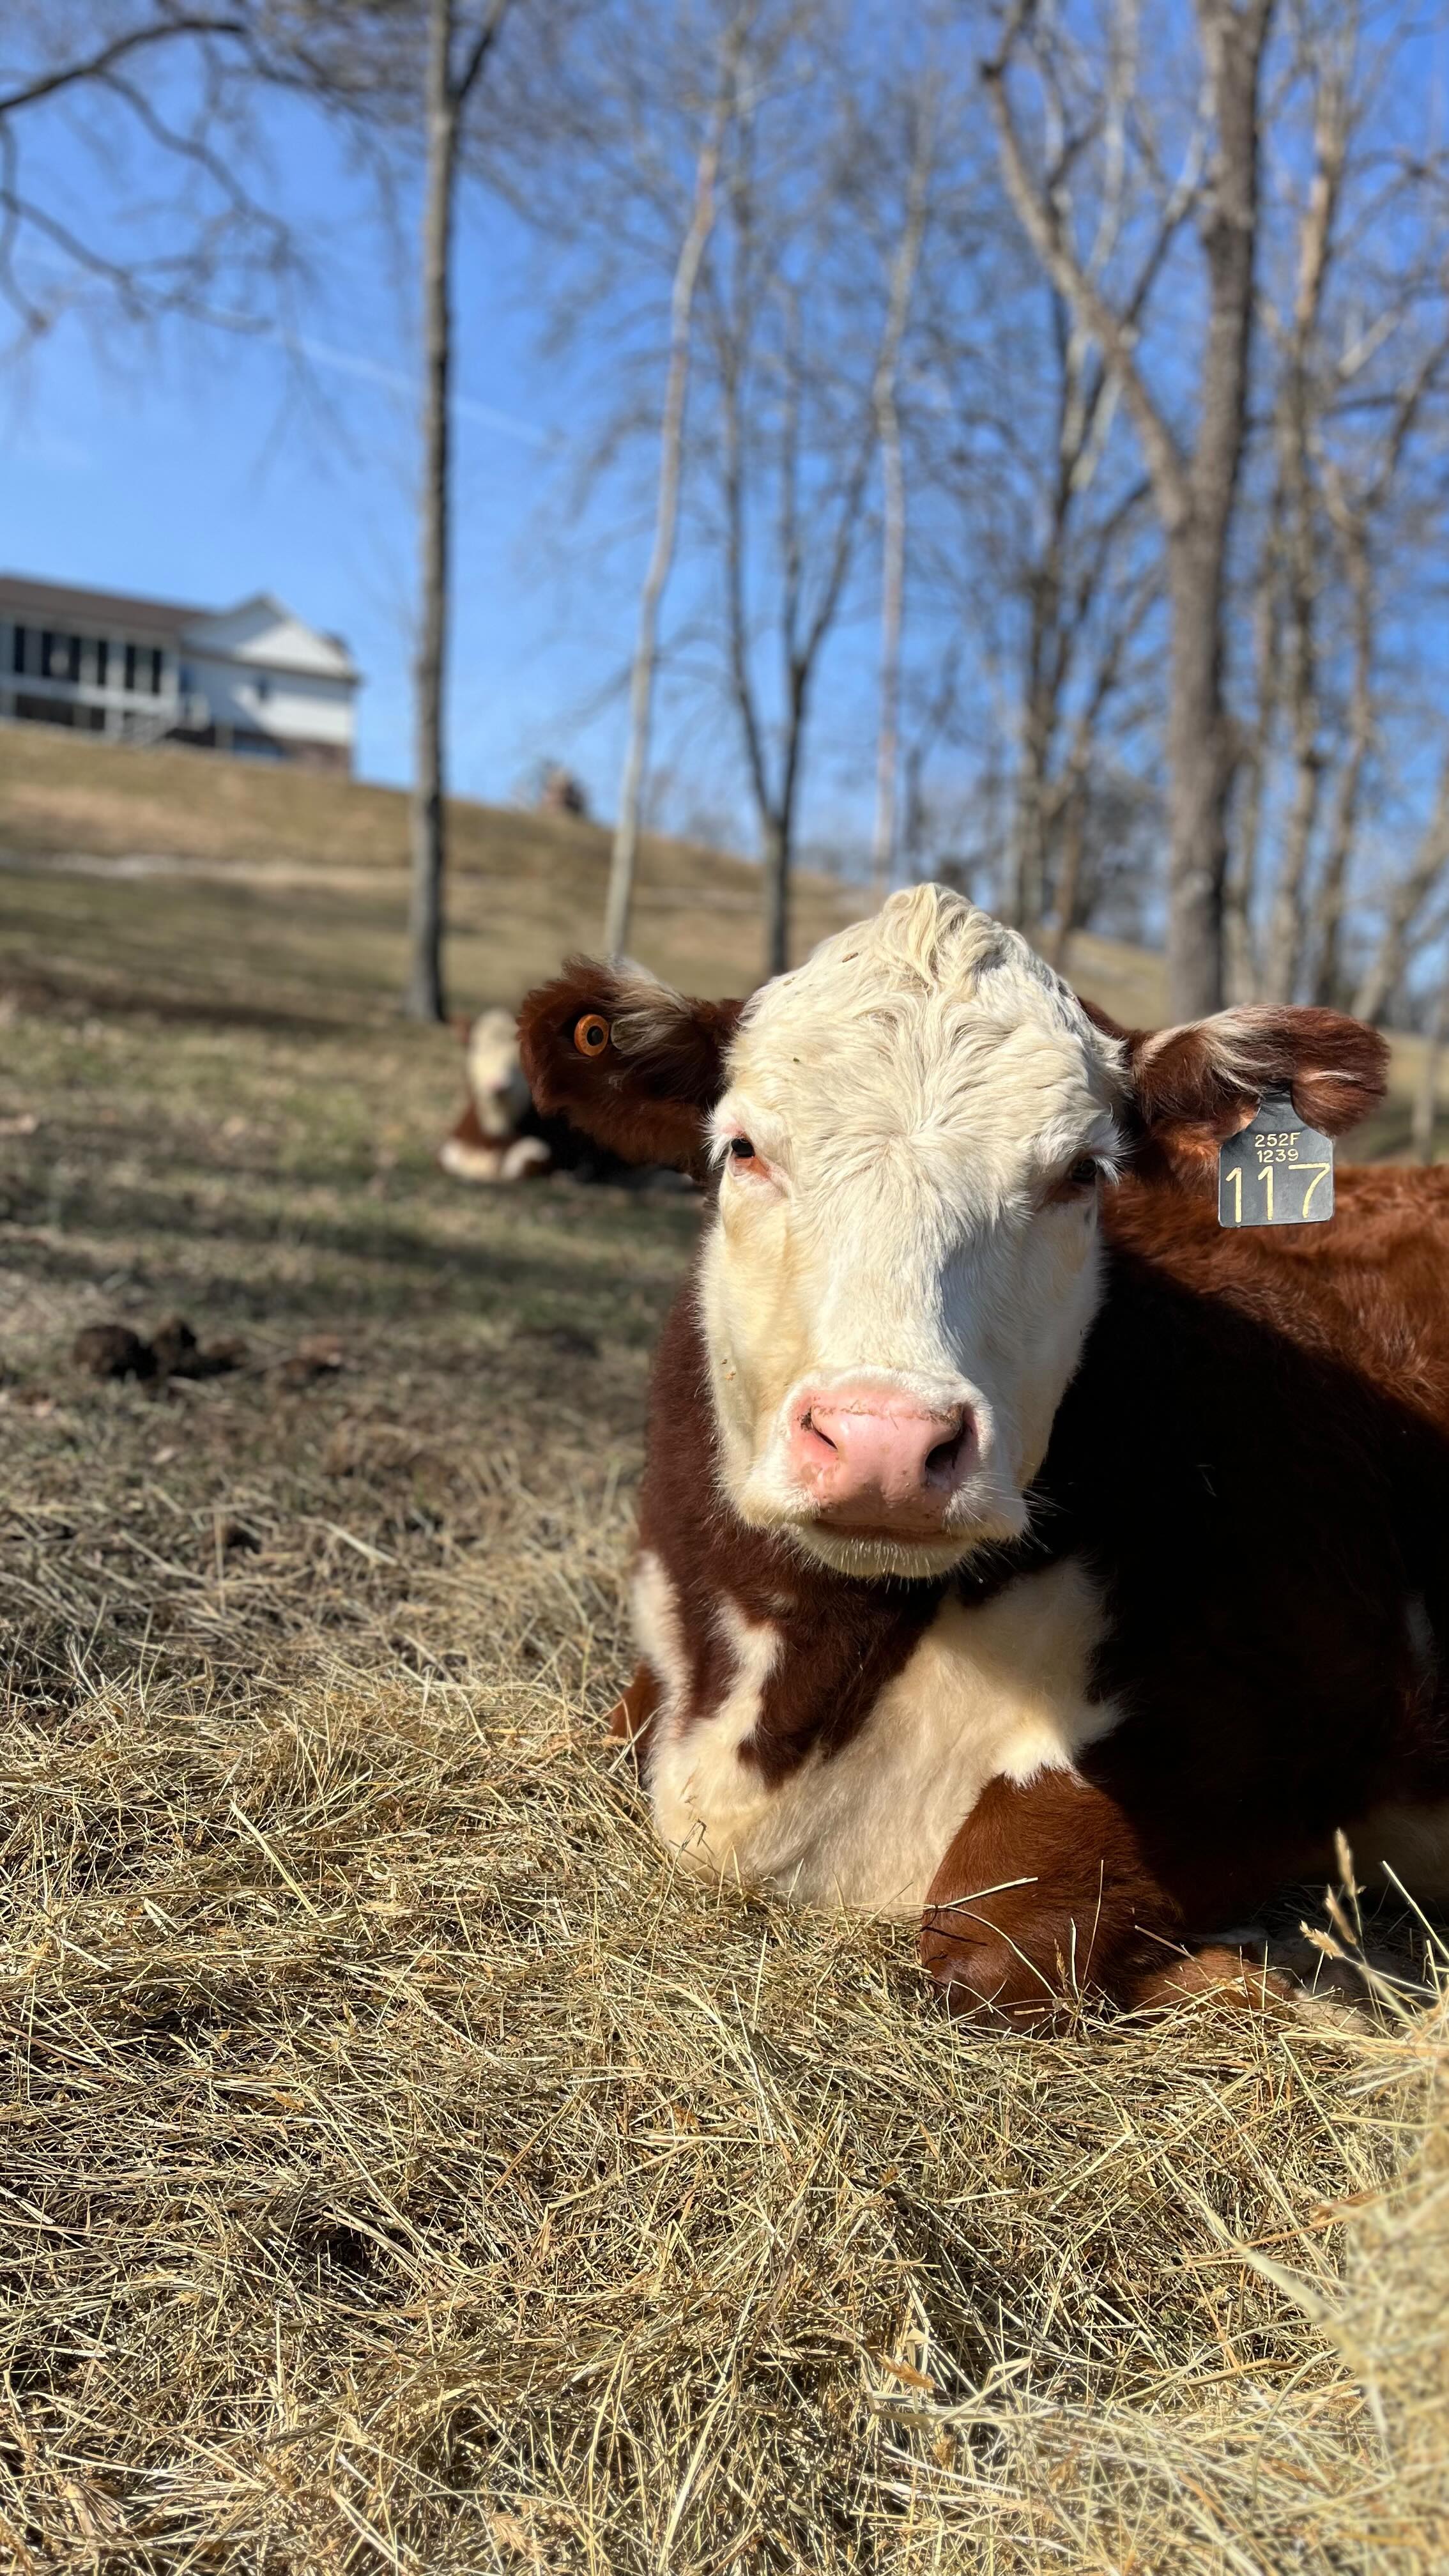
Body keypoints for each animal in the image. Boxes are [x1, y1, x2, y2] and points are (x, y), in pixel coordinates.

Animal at [518, 887, 1449, 2021]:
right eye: (743, 1149)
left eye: (1081, 1174)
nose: (883, 1439)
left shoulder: (1312, 1700)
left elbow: (986, 1932)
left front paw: (1273, 1971)